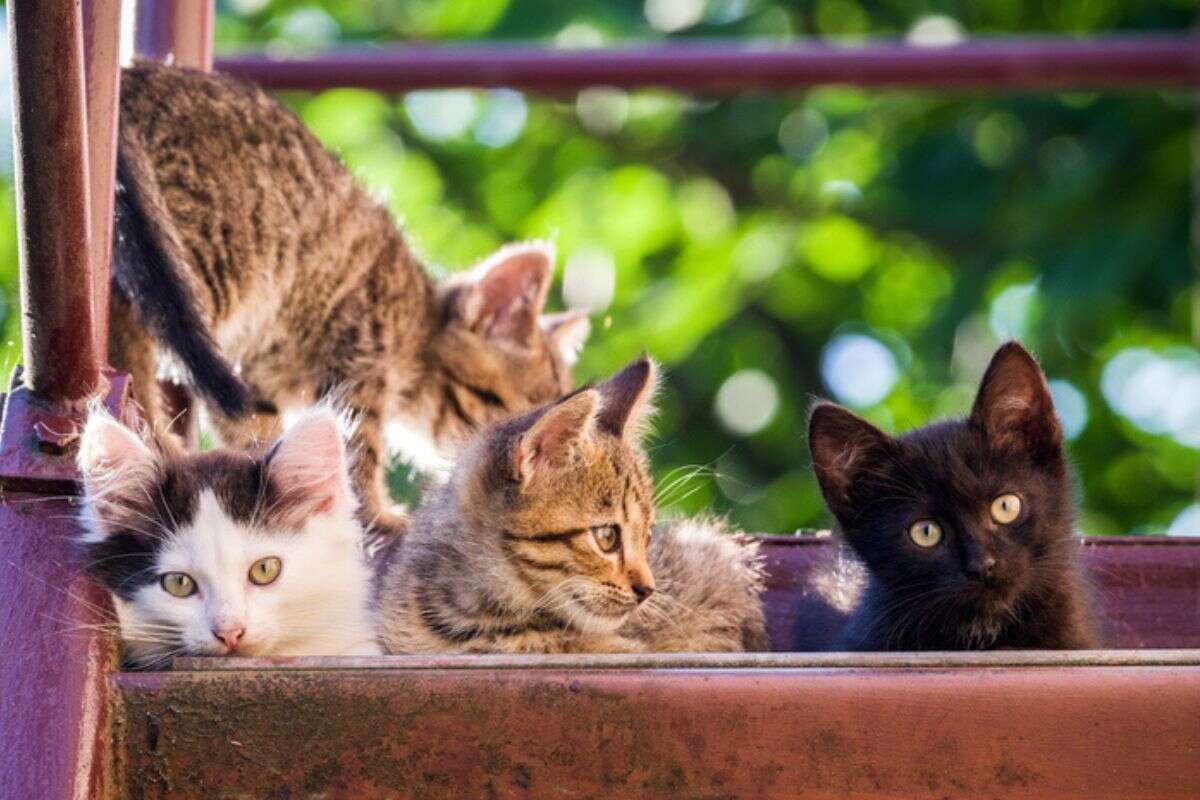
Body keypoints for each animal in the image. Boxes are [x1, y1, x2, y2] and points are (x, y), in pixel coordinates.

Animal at [112, 62, 590, 537]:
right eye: (524, 413)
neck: (416, 328)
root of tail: (133, 79)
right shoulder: (359, 356)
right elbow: (359, 443)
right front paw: (376, 510)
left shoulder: (256, 375)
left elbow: (256, 427)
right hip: (209, 261)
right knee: (132, 328)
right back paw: (158, 438)